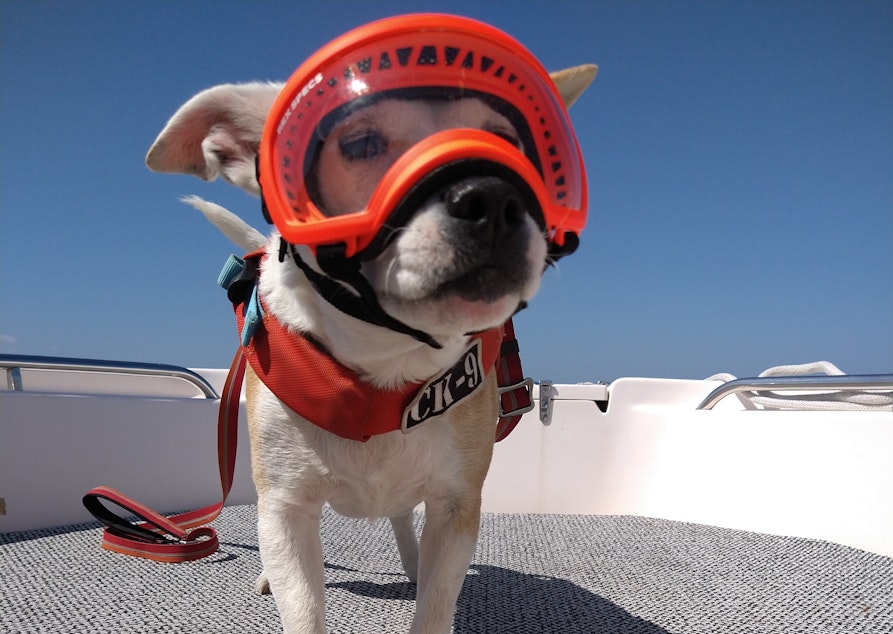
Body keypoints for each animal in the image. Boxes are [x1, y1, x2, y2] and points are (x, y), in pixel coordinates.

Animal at [145, 13, 592, 628]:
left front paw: (425, 588)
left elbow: (435, 604)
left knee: (404, 518)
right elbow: (303, 607)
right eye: (361, 145)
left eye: (511, 149)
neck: (386, 365)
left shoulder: (457, 503)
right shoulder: (285, 506)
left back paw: (410, 562)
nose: (494, 197)